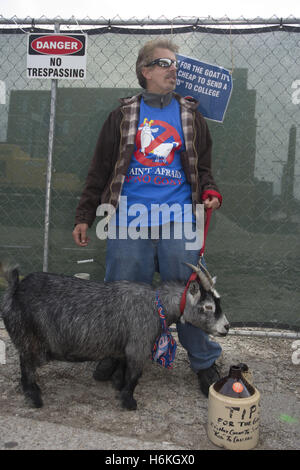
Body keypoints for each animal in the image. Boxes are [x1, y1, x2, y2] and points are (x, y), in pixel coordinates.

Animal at [0, 262, 230, 410]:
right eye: (208, 307)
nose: (226, 327)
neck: (157, 305)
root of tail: (15, 289)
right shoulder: (138, 346)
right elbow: (135, 376)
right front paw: (129, 402)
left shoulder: (124, 347)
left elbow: (123, 368)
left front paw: (118, 386)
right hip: (30, 339)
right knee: (26, 365)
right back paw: (34, 397)